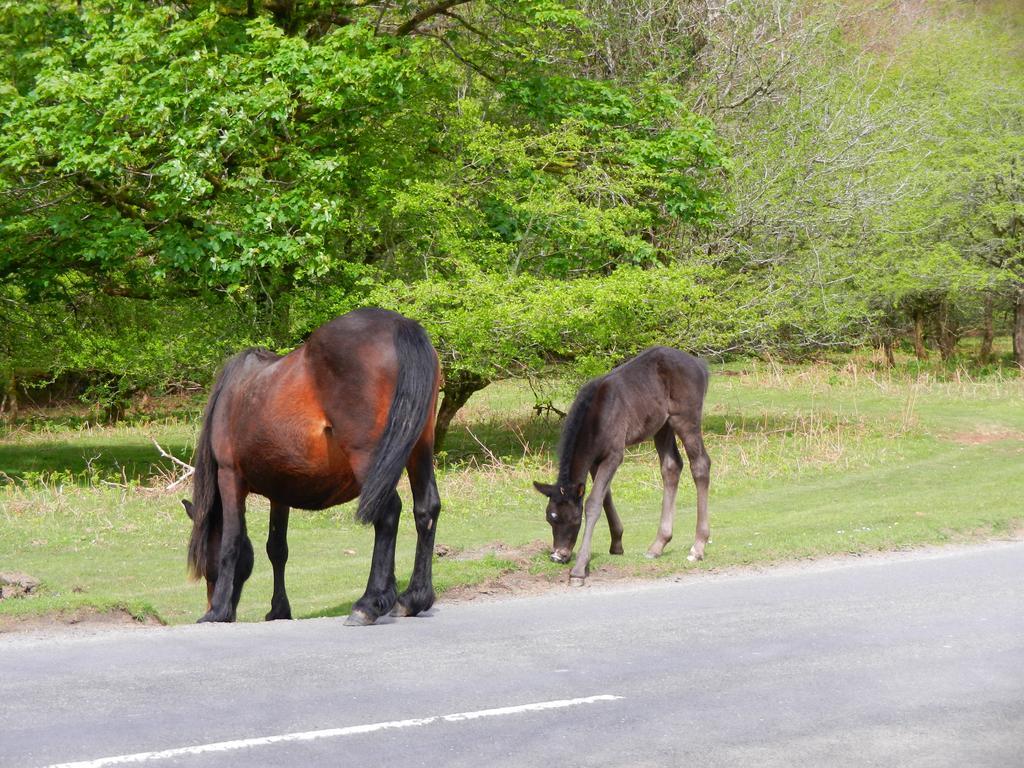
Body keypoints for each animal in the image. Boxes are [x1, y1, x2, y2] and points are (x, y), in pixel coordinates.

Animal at [184, 309, 440, 626]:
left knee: (388, 513)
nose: (219, 607)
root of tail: (399, 325)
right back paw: (414, 598)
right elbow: (276, 548)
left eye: (205, 565)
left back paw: (368, 603)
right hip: (419, 447)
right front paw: (279, 610)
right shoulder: (279, 490)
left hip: (369, 458)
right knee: (426, 509)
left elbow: (231, 542)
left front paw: (217, 611)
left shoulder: (229, 476)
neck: (236, 391)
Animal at [532, 346, 708, 585]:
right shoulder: (596, 460)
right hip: (662, 425)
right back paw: (658, 545)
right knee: (671, 466)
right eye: (550, 517)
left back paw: (698, 547)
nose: (558, 555)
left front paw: (579, 569)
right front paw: (616, 544)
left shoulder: (614, 455)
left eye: (575, 518)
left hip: (686, 417)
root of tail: (701, 366)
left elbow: (593, 503)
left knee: (700, 464)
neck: (596, 419)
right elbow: (605, 497)